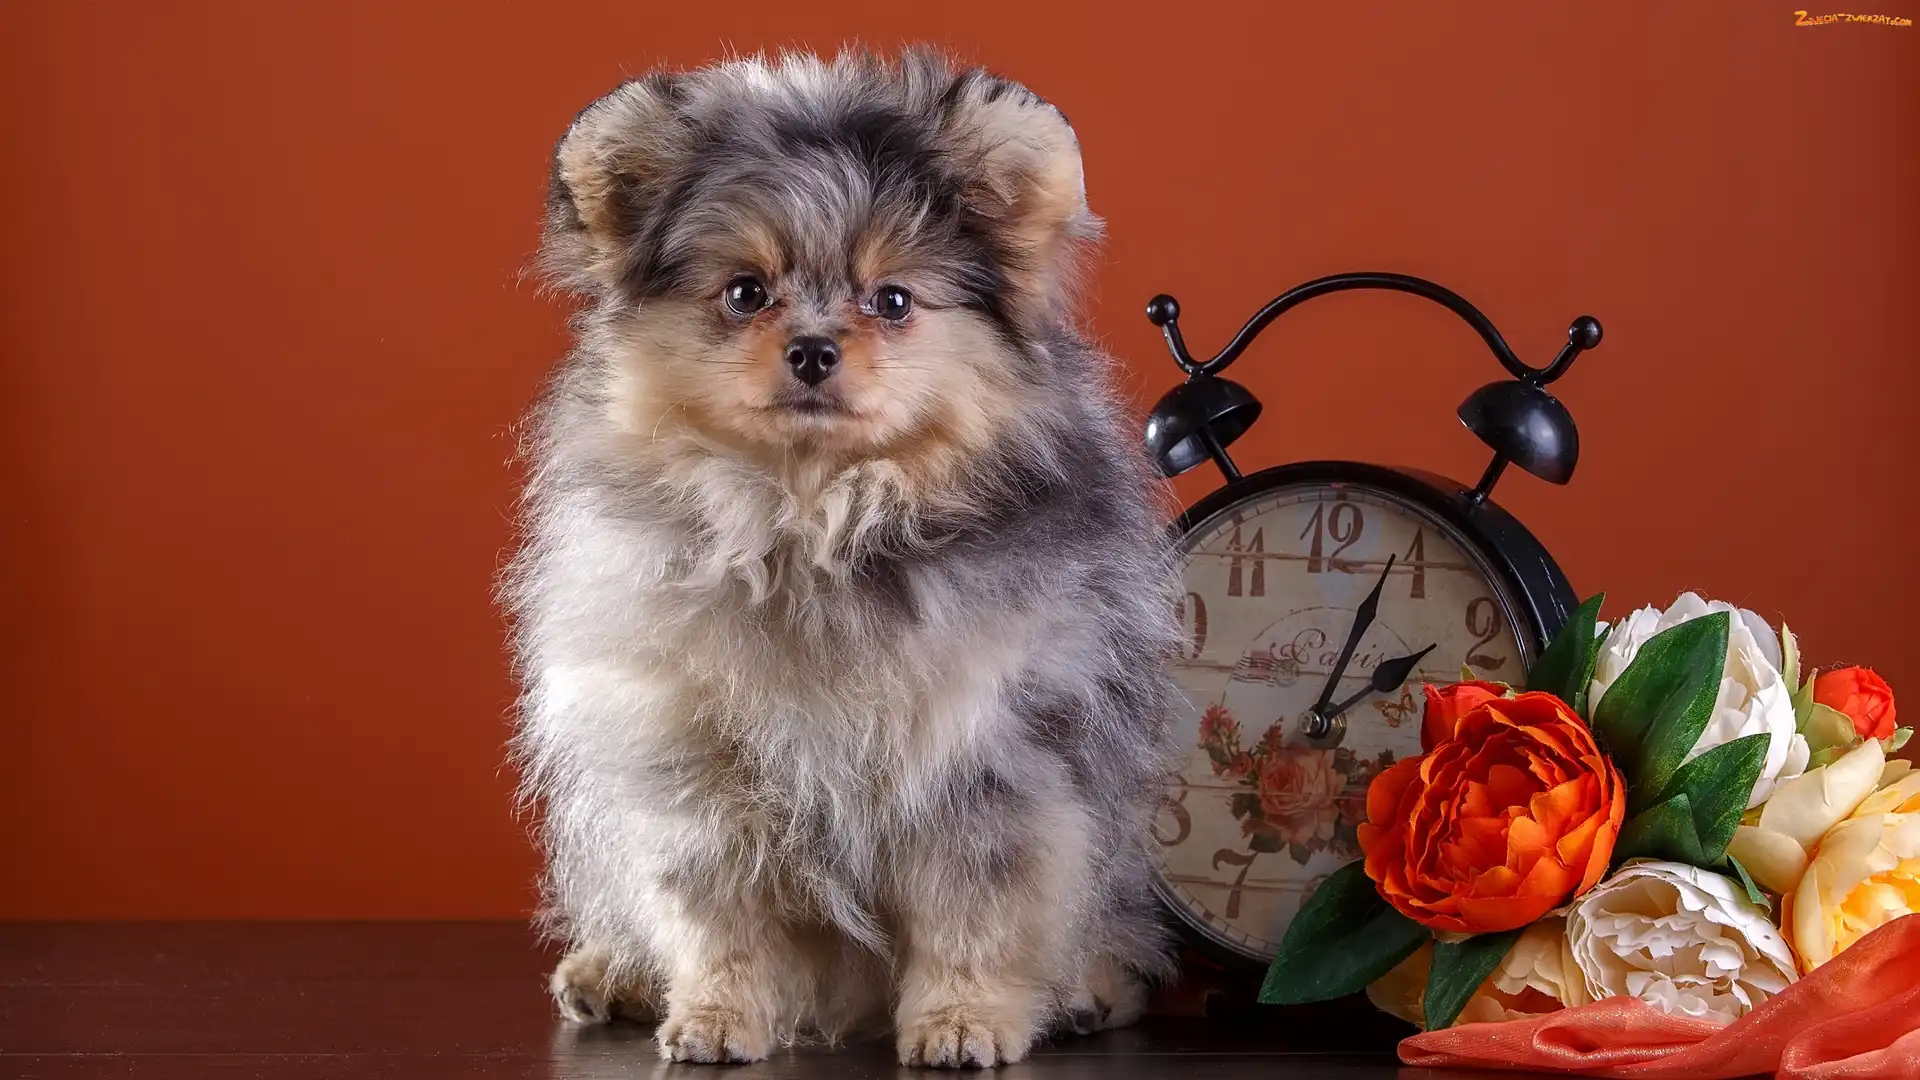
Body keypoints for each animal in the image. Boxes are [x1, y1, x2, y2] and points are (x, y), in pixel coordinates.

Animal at [505, 48, 1182, 1067]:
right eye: (746, 292)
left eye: (892, 300)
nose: (815, 349)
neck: (812, 521)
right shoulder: (694, 764)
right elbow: (718, 916)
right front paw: (717, 1014)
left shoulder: (989, 754)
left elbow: (977, 911)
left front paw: (963, 1020)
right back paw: (612, 972)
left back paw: (1086, 993)